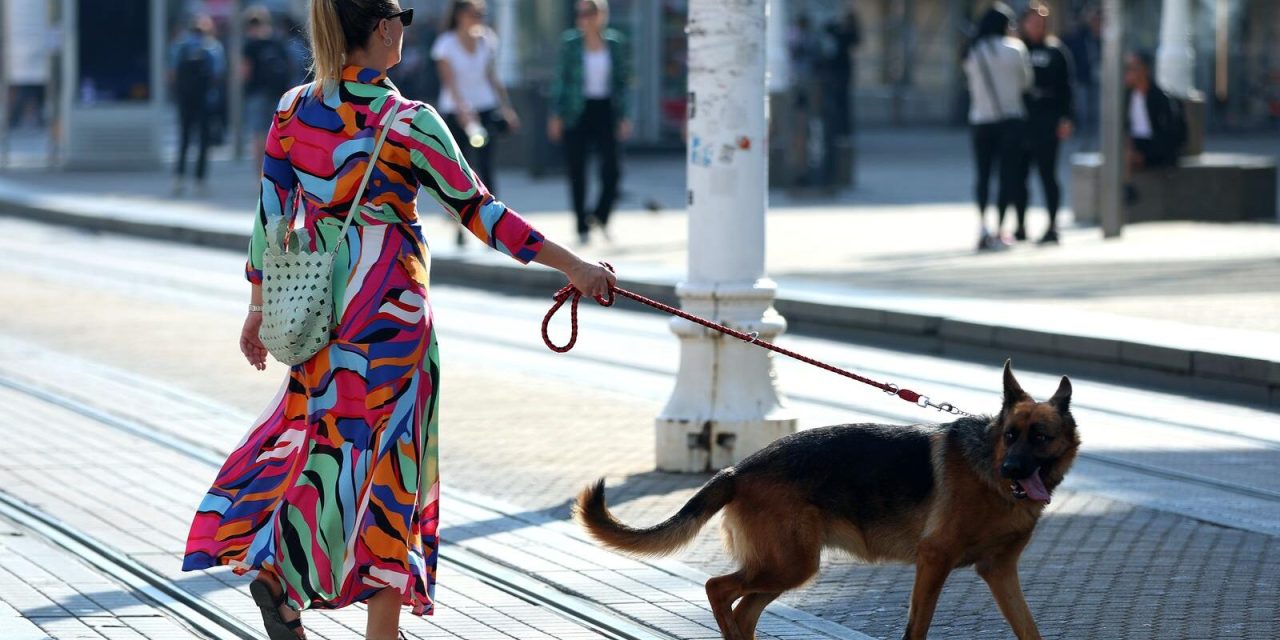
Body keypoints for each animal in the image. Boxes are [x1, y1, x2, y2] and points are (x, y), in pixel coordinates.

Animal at [576, 363, 1075, 637]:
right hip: (788, 564)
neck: (987, 468)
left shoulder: (1000, 572)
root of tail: (739, 469)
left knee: (744, 612)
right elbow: (917, 628)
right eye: (1010, 436)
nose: (1010, 471)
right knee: (718, 589)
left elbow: (1030, 630)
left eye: (1039, 437)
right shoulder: (933, 562)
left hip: (788, 566)